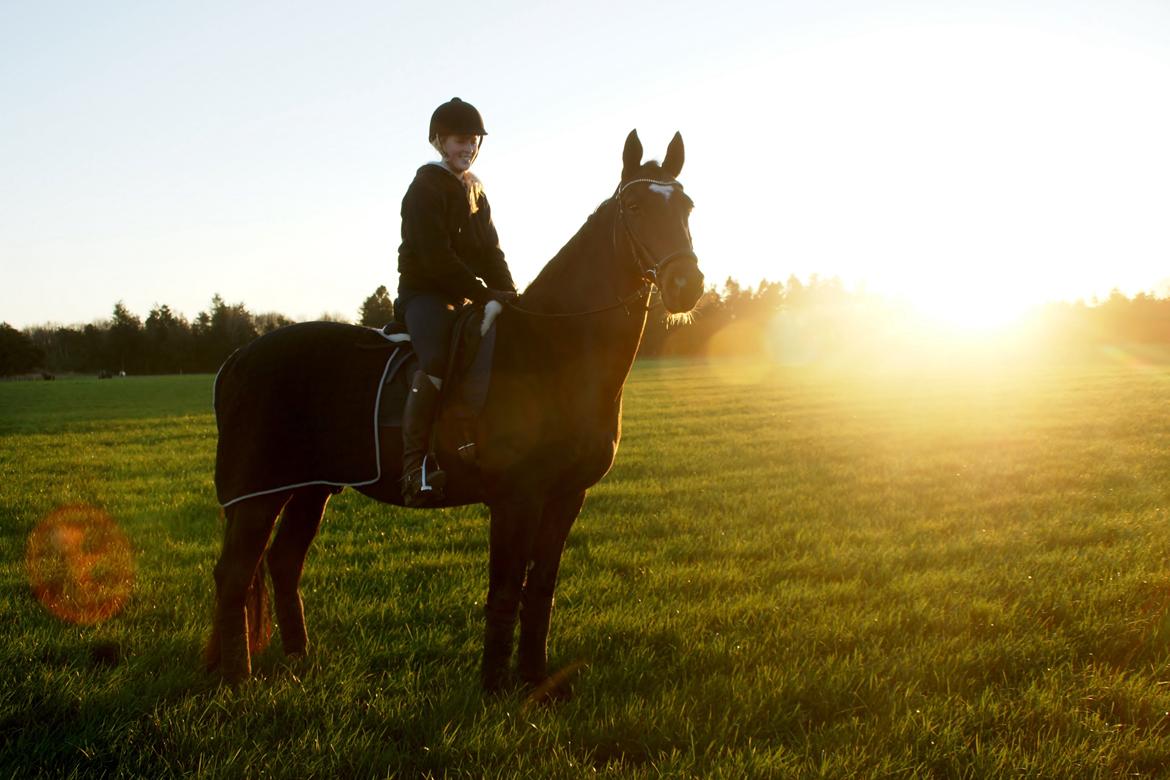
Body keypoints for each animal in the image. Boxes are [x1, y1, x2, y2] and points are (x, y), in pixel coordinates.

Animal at [203, 129, 702, 696]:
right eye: (635, 207)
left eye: (686, 206)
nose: (686, 284)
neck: (551, 348)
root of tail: (239, 358)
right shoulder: (516, 498)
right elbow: (505, 589)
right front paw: (495, 689)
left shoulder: (566, 496)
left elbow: (541, 591)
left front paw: (536, 682)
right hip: (259, 493)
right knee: (235, 574)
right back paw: (237, 680)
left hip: (310, 489)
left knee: (283, 563)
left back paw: (298, 661)